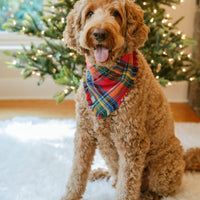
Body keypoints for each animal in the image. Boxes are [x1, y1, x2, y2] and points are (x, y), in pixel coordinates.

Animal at [61, 0, 199, 200]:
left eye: (116, 14)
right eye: (90, 13)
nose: (99, 33)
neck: (106, 73)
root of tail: (184, 160)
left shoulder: (131, 141)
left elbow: (127, 186)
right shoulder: (84, 134)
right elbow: (77, 174)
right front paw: (69, 195)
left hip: (164, 163)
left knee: (157, 190)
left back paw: (146, 195)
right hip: (107, 152)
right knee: (116, 176)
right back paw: (101, 174)